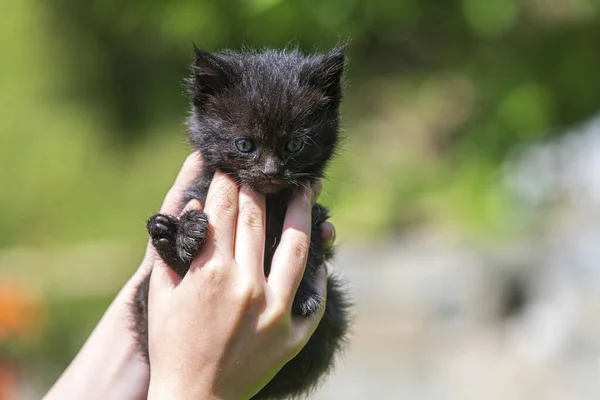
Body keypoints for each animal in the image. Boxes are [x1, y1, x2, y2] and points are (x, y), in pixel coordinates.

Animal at [129, 44, 350, 400]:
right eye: (244, 145)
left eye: (295, 145)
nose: (272, 171)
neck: (270, 202)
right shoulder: (198, 192)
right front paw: (186, 233)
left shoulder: (315, 216)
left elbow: (312, 249)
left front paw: (302, 293)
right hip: (142, 296)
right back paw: (167, 238)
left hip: (335, 311)